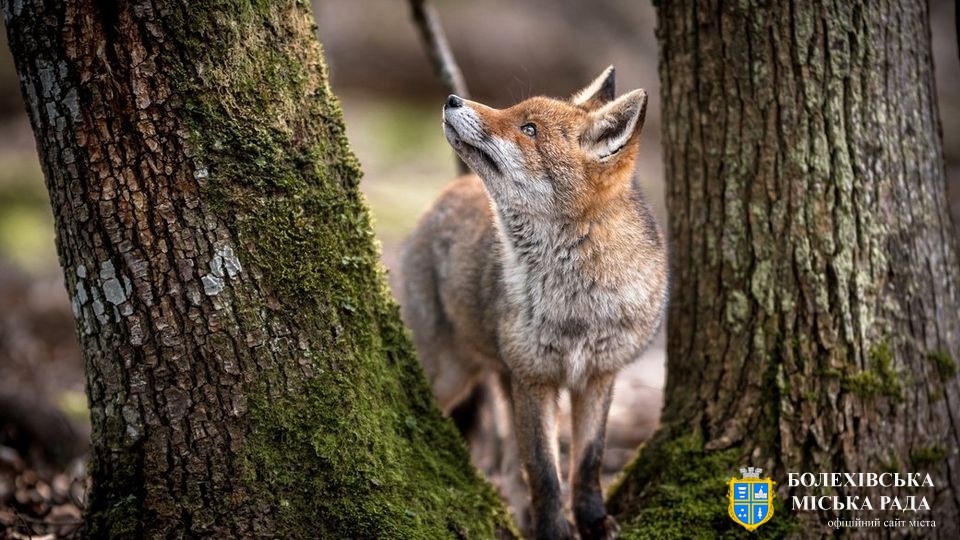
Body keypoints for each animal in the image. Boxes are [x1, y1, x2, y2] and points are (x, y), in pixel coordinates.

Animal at [400, 67, 668, 540]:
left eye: (529, 129)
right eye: (513, 112)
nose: (452, 100)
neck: (576, 305)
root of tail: (450, 188)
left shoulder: (599, 376)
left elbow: (587, 461)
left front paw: (592, 521)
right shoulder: (533, 379)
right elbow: (544, 471)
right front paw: (555, 531)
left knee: (510, 468)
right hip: (450, 375)